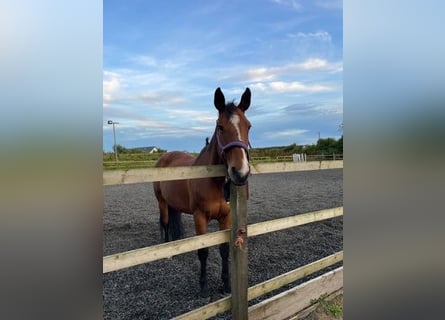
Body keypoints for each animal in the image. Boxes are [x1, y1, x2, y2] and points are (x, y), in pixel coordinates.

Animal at [152, 87, 250, 298]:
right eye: (220, 127)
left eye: (249, 126)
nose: (241, 173)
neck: (213, 181)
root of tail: (164, 157)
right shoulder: (200, 217)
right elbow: (203, 251)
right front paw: (204, 288)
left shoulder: (226, 217)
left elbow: (224, 250)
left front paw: (226, 285)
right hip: (161, 202)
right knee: (165, 223)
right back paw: (168, 252)